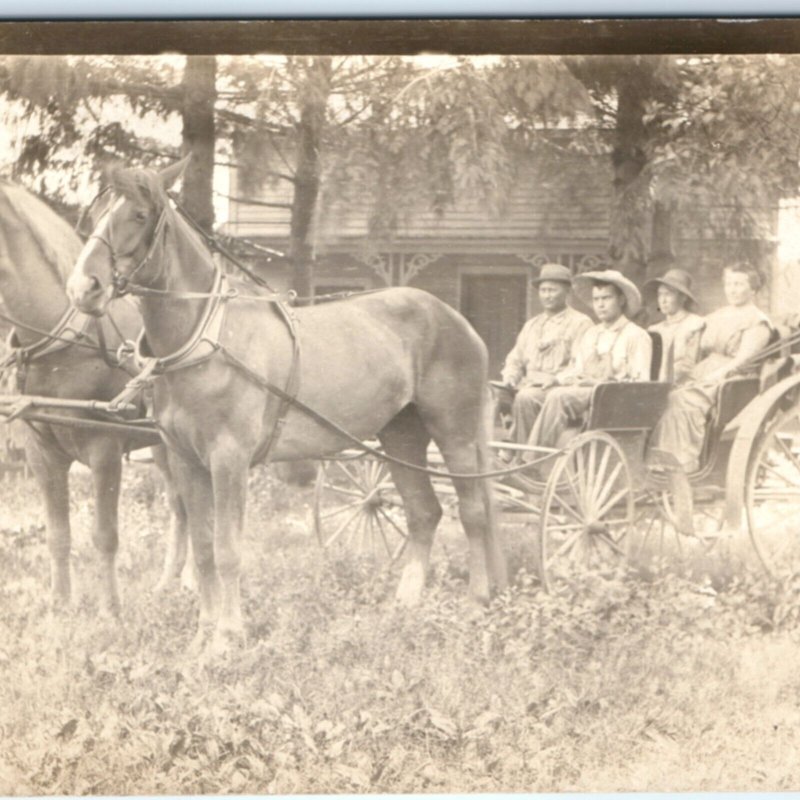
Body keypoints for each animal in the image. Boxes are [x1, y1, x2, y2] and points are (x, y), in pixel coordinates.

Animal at [0, 181, 186, 616]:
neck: (63, 345)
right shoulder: (41, 454)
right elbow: (58, 535)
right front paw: (60, 607)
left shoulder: (105, 450)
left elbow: (104, 535)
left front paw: (110, 610)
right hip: (165, 446)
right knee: (180, 506)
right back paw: (167, 585)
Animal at [69, 159, 506, 652]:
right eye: (96, 212)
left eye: (140, 214)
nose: (83, 287)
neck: (206, 338)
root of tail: (456, 320)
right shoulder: (186, 460)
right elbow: (203, 548)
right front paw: (203, 633)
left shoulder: (229, 459)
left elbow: (227, 550)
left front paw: (227, 636)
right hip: (401, 437)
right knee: (424, 513)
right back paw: (405, 605)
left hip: (455, 433)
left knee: (472, 512)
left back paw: (476, 603)